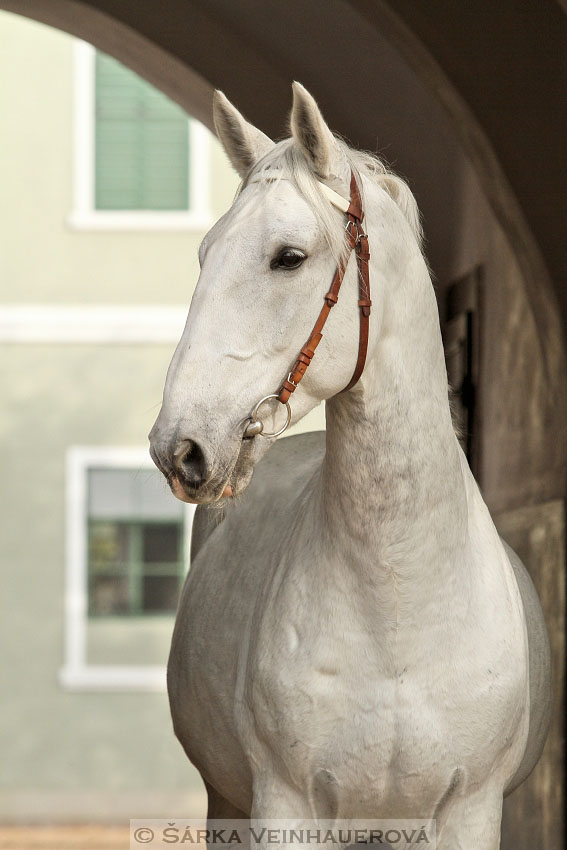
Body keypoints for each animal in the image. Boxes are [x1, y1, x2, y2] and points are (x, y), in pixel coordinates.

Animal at [149, 84, 552, 848]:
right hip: (226, 801)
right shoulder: (283, 808)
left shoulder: (470, 812)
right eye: (205, 253)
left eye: (288, 256)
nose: (178, 448)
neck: (397, 608)